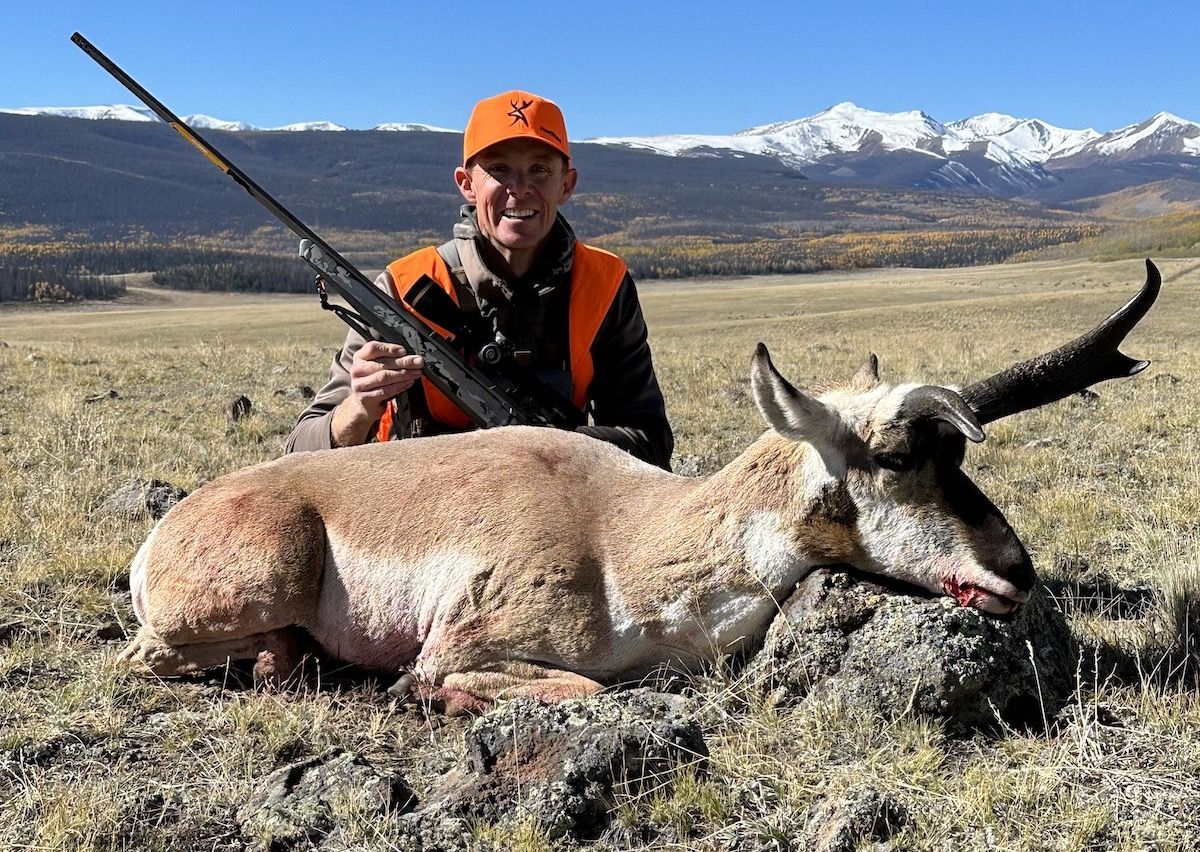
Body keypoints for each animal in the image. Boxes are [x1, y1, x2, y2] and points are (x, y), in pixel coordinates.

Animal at [121, 262, 1161, 714]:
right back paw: (270, 662)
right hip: (257, 579)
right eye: (902, 458)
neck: (620, 534)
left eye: (960, 454)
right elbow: (579, 688)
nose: (1018, 569)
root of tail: (169, 527)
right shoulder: (465, 645)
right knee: (148, 656)